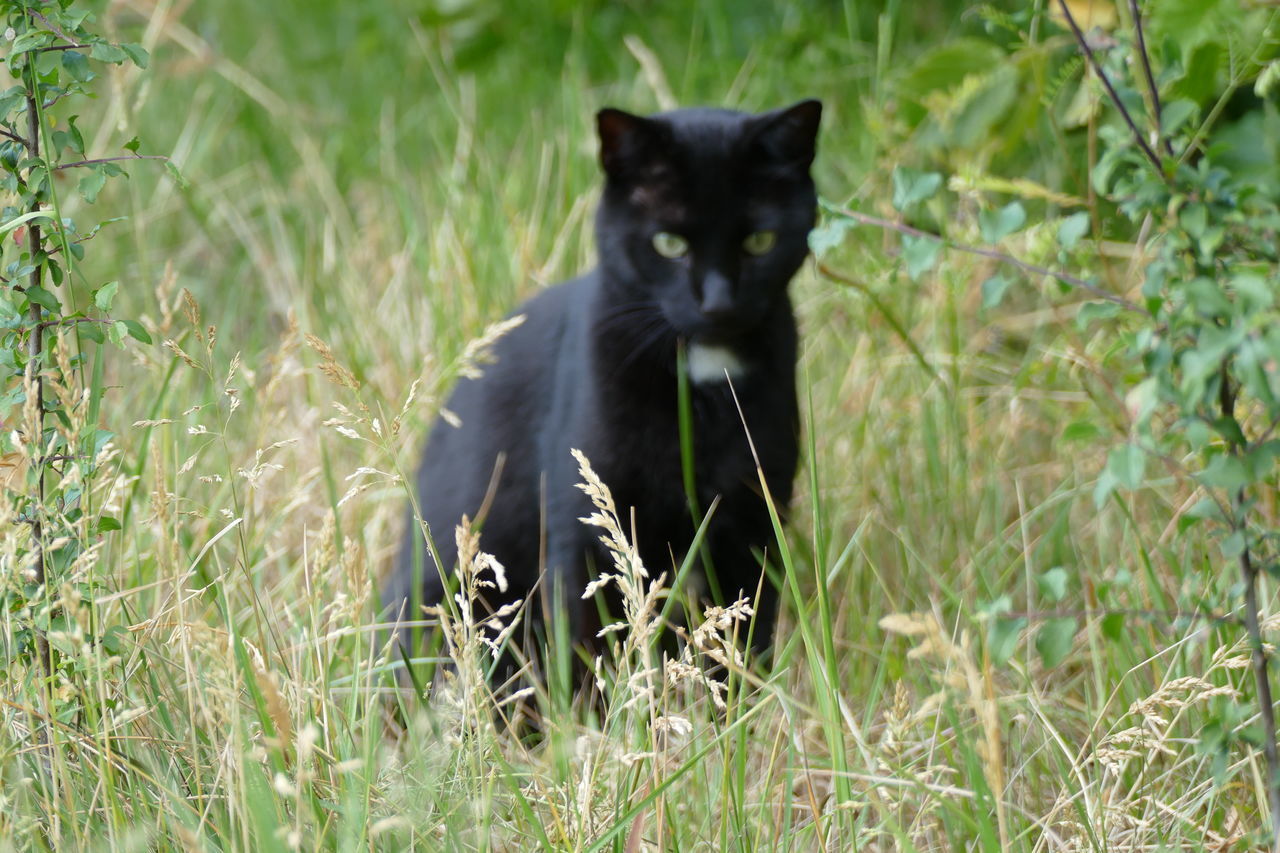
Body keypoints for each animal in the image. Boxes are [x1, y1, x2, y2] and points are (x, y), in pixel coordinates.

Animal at [384, 99, 819, 666]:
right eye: (669, 243)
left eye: (760, 241)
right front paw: (605, 693)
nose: (719, 303)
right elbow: (590, 642)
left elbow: (745, 635)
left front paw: (745, 690)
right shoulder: (587, 528)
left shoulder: (754, 522)